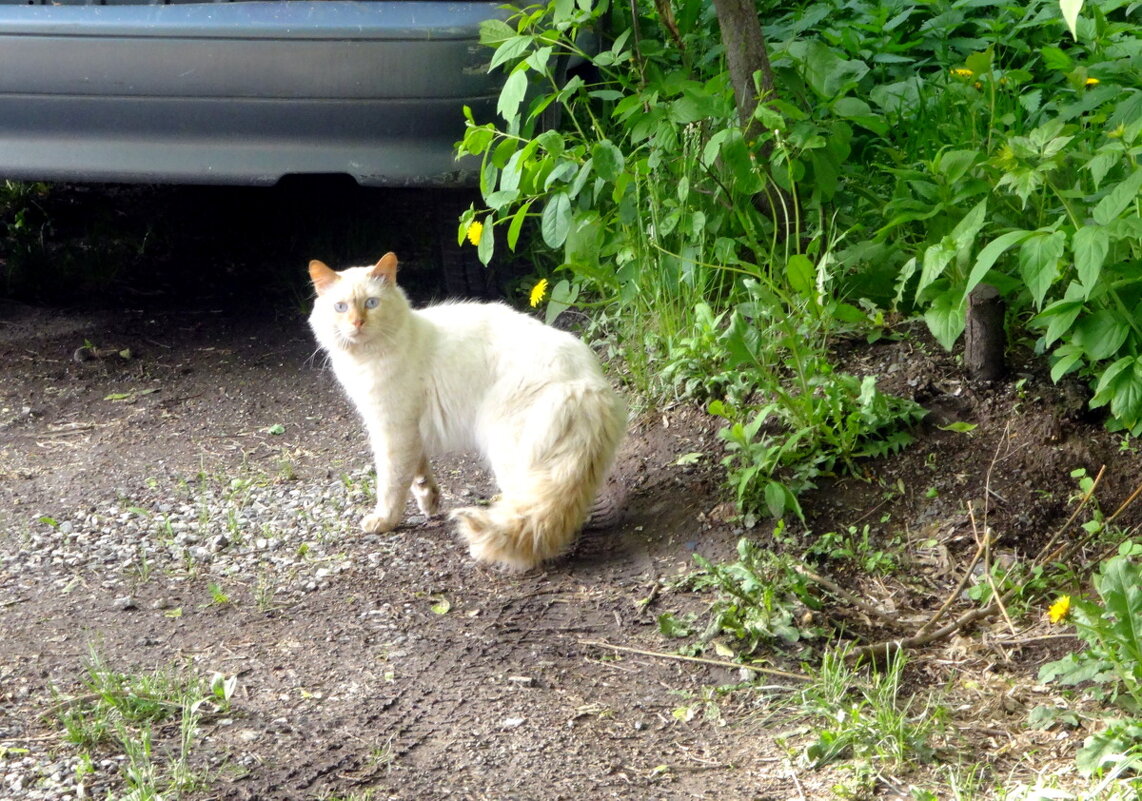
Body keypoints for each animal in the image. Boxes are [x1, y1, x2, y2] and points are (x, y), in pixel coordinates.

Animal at [308, 252, 630, 571]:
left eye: (371, 303)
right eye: (340, 307)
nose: (357, 322)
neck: (366, 359)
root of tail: (586, 386)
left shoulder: (392, 429)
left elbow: (391, 484)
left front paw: (383, 521)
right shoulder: (409, 431)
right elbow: (419, 473)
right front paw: (429, 503)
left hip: (505, 448)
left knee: (529, 515)